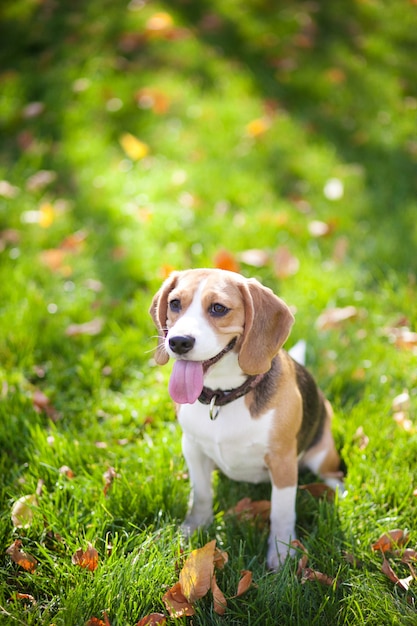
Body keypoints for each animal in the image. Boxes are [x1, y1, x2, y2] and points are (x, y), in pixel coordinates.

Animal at [150, 266, 342, 568]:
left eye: (218, 308)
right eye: (175, 303)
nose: (178, 342)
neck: (222, 397)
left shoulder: (283, 461)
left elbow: (281, 512)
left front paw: (281, 554)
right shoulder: (192, 448)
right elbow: (201, 494)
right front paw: (193, 528)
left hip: (321, 452)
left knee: (331, 472)